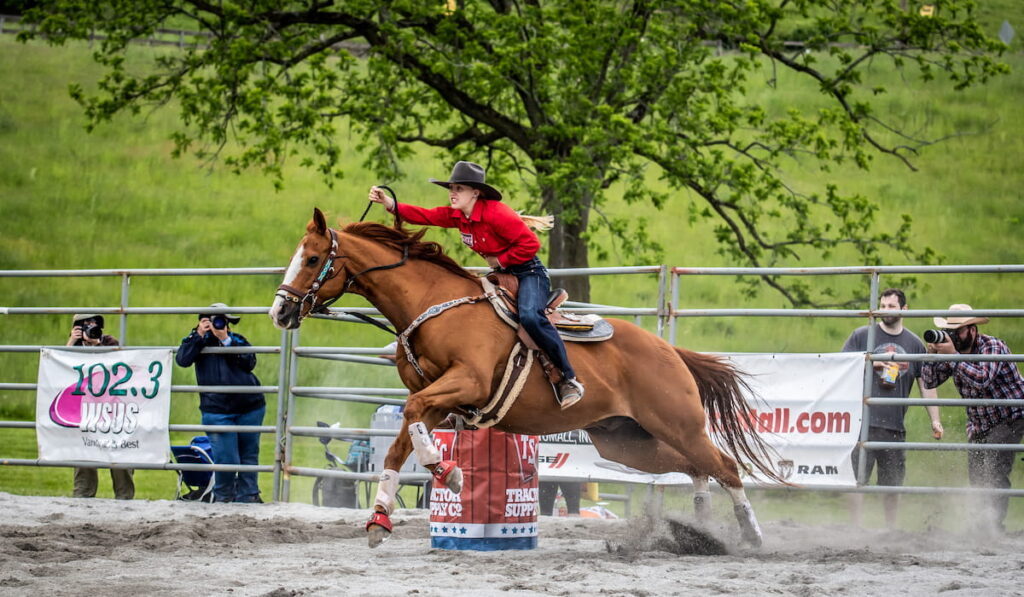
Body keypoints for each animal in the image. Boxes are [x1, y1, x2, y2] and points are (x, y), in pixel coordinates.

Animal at [268, 207, 778, 548]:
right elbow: (400, 444)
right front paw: (380, 518)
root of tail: (668, 350)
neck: (433, 305)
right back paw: (702, 530)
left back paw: (751, 536)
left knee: (724, 465)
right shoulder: (436, 399)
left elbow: (411, 423)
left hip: (678, 423)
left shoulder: (465, 383)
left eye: (312, 259)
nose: (279, 312)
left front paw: (451, 475)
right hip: (626, 440)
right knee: (696, 468)